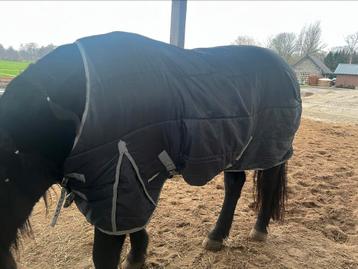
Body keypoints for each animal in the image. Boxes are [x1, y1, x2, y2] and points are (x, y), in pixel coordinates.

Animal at [0, 31, 300, 268]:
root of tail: (286, 68)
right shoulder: (124, 185)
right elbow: (136, 226)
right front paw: (138, 255)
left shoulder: (118, 185)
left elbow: (104, 255)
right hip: (235, 150)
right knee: (235, 184)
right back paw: (216, 236)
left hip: (270, 148)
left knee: (269, 184)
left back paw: (259, 230)